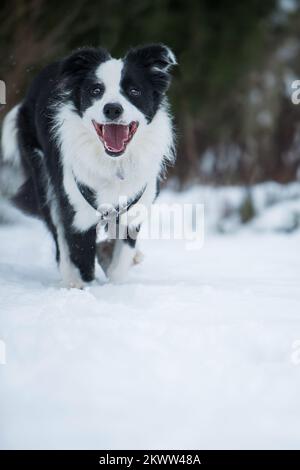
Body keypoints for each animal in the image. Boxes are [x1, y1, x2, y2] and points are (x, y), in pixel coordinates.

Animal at [0, 45, 176, 286]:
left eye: (134, 91)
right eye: (96, 90)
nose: (112, 109)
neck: (114, 163)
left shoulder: (132, 211)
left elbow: (120, 263)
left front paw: (115, 280)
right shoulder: (78, 216)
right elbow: (81, 258)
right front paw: (86, 288)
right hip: (43, 178)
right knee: (59, 235)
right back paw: (71, 281)